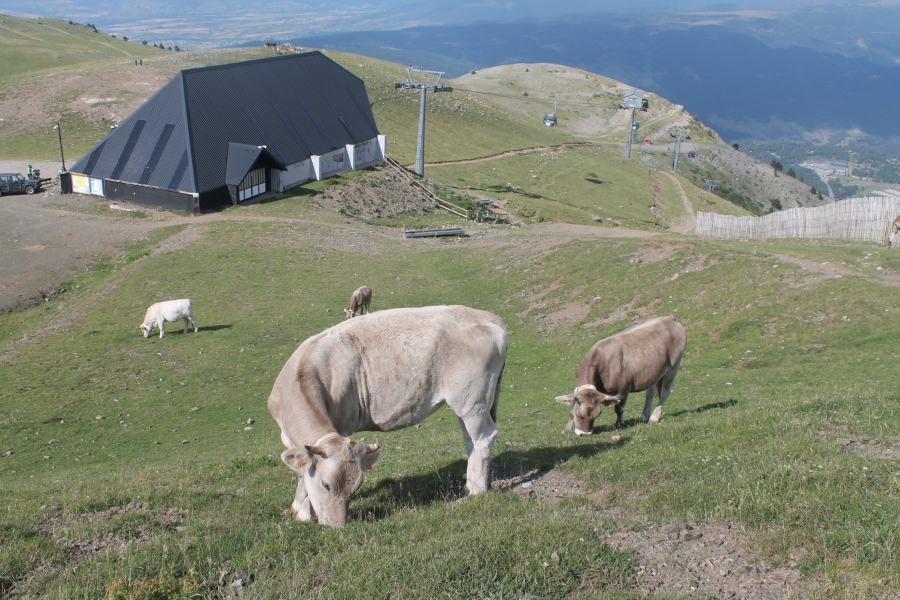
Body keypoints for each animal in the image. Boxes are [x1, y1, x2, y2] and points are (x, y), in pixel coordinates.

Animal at [552, 314, 684, 436]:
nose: (585, 433)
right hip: (653, 372)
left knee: (665, 393)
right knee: (650, 393)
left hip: (673, 367)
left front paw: (618, 424)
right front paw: (566, 429)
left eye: (597, 414)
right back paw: (644, 416)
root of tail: (669, 318)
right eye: (580, 414)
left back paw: (654, 417)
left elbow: (619, 408)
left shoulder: (623, 388)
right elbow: (571, 409)